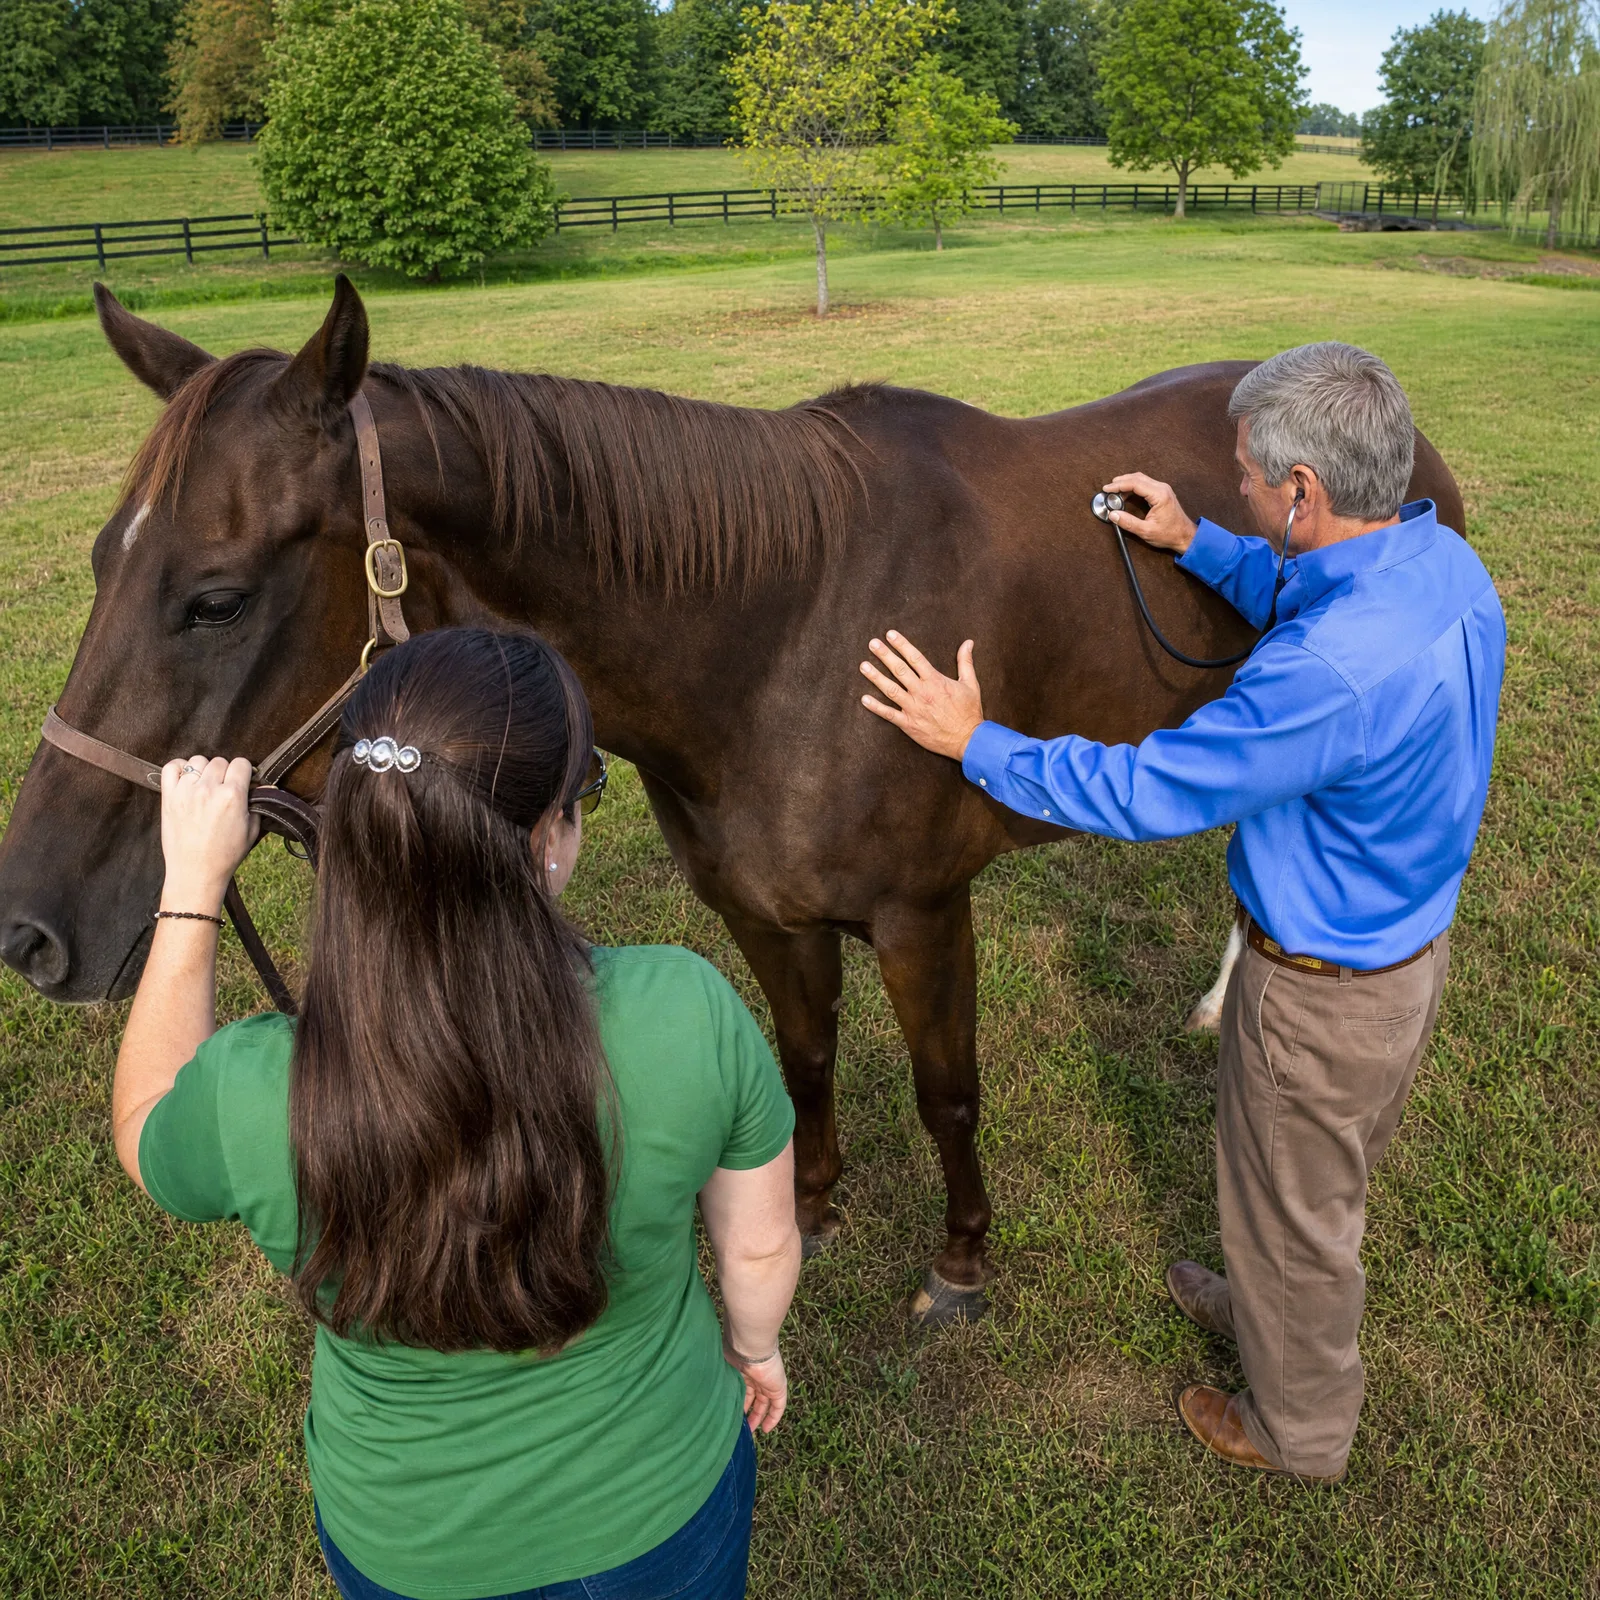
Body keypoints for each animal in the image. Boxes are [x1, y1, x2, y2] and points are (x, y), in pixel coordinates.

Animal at [0, 279, 1465, 1323]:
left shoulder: (925, 917)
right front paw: (810, 1209)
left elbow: (948, 1093)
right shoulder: (767, 914)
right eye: (100, 560)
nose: (30, 927)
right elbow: (804, 1058)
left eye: (216, 596)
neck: (787, 631)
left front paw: (961, 1262)